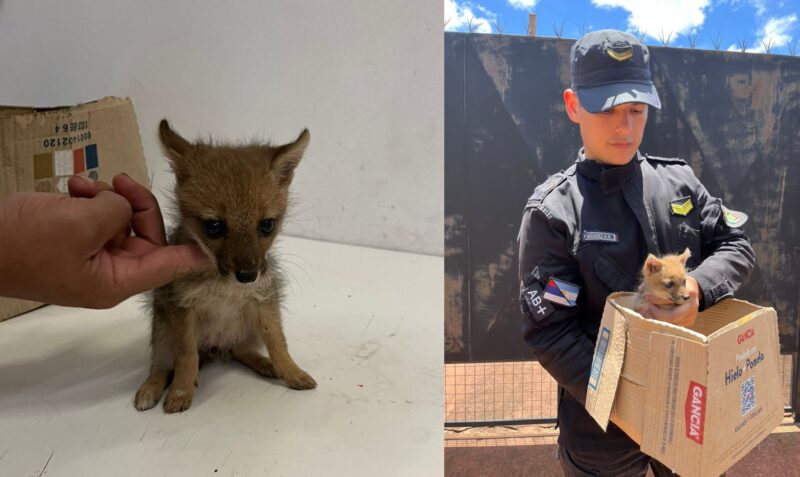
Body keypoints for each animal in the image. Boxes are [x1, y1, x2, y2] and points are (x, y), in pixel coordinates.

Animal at [134, 119, 316, 414]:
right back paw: (151, 387)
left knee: (240, 350)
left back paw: (266, 364)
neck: (223, 287)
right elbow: (186, 357)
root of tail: (215, 347)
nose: (247, 275)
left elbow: (278, 343)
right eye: (214, 226)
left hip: (245, 329)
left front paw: (291, 372)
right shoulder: (182, 307)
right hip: (161, 330)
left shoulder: (263, 300)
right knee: (161, 366)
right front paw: (181, 391)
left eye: (267, 225)